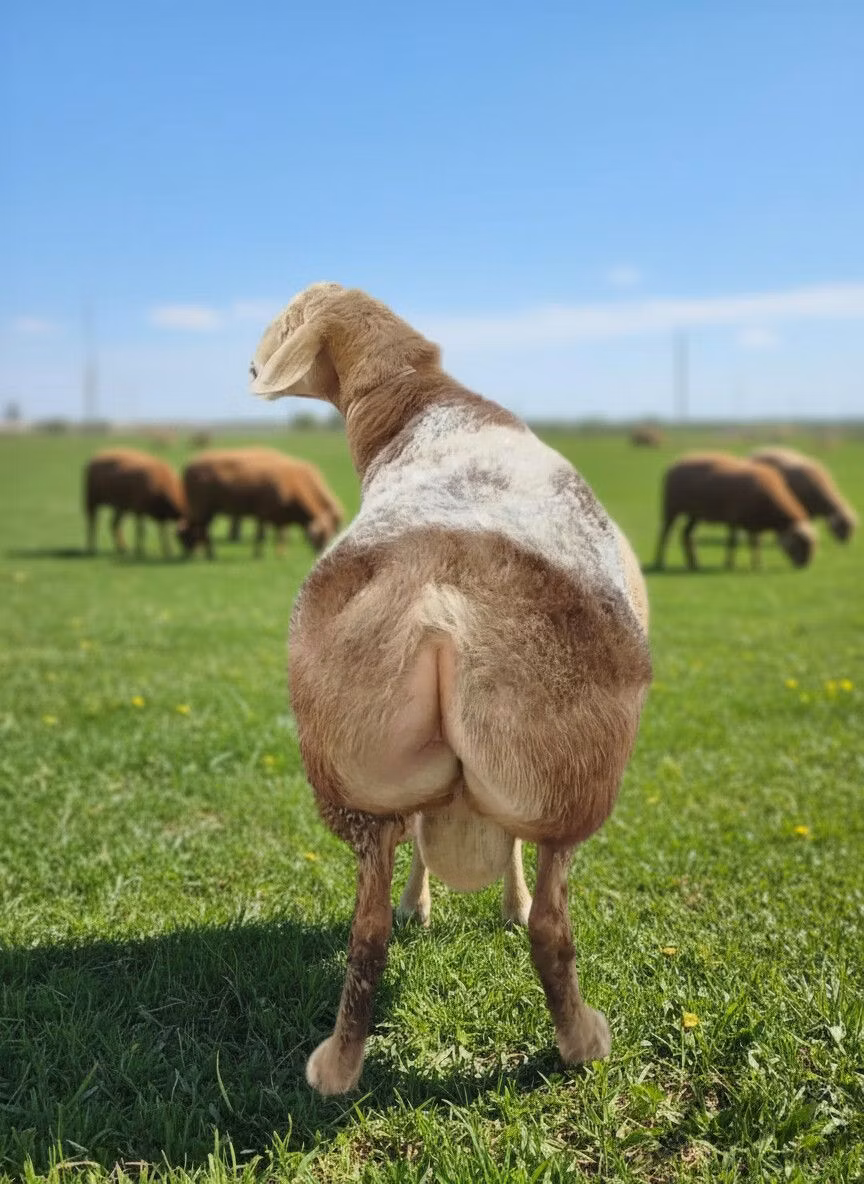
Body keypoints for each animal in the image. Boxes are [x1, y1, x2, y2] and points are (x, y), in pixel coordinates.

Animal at [178, 447, 342, 559]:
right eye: (322, 535)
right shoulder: (264, 513)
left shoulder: (280, 515)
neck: (293, 485)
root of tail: (190, 465)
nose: (322, 555)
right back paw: (210, 554)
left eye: (331, 534)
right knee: (203, 530)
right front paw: (259, 554)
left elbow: (281, 534)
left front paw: (280, 553)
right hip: (202, 508)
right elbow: (261, 535)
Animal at [249, 283, 652, 1095]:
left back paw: (335, 1067)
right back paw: (584, 1042)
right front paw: (497, 906)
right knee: (551, 922)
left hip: (353, 776)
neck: (424, 407)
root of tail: (435, 594)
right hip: (574, 781)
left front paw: (423, 911)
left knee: (367, 927)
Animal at [654, 452, 817, 571]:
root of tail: (675, 464)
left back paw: (694, 563)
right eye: (799, 543)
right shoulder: (734, 519)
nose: (804, 565)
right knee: (665, 534)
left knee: (686, 534)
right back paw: (660, 562)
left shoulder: (754, 523)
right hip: (671, 508)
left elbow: (755, 544)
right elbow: (733, 542)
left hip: (694, 513)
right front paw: (729, 564)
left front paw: (757, 564)